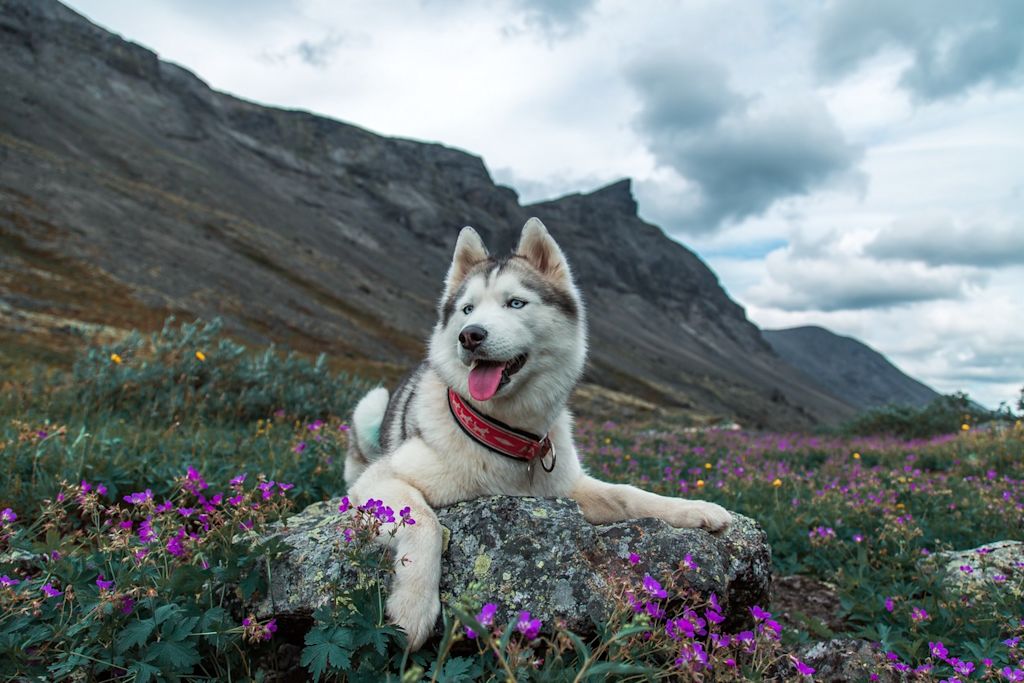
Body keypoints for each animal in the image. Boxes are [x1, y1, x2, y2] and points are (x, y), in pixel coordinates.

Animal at [348, 219, 733, 651]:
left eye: (515, 303)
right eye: (467, 309)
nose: (470, 335)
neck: (508, 435)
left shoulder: (567, 487)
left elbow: (629, 495)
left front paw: (696, 509)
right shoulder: (380, 480)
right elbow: (426, 523)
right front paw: (412, 609)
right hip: (370, 405)